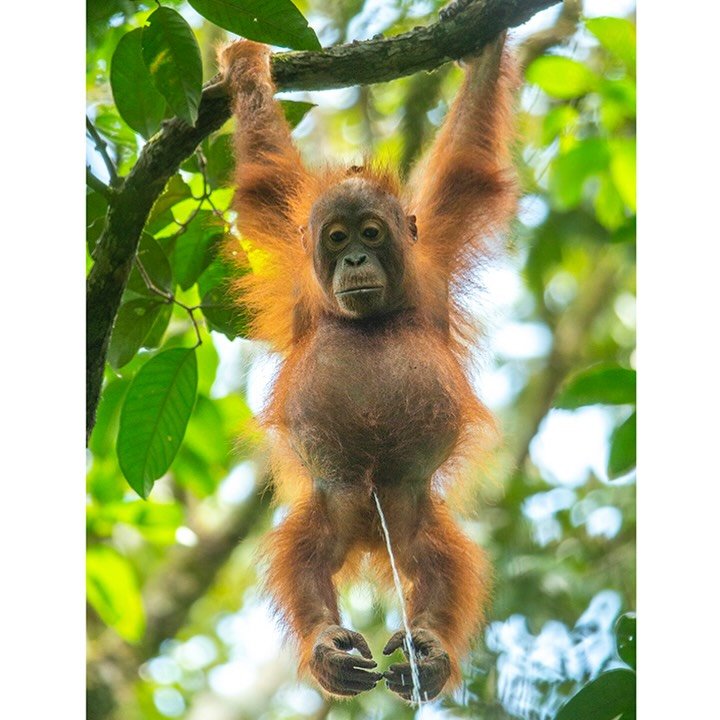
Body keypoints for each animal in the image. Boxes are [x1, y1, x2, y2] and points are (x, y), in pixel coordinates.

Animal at [217, 28, 517, 701]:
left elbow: (467, 166)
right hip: (333, 501)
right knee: (301, 557)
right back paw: (326, 645)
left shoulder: (433, 254)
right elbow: (264, 183)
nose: (355, 259)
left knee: (443, 561)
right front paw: (247, 65)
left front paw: (487, 37)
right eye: (336, 238)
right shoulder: (296, 271)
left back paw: (429, 649)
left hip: (413, 507)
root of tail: (368, 529)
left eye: (373, 233)